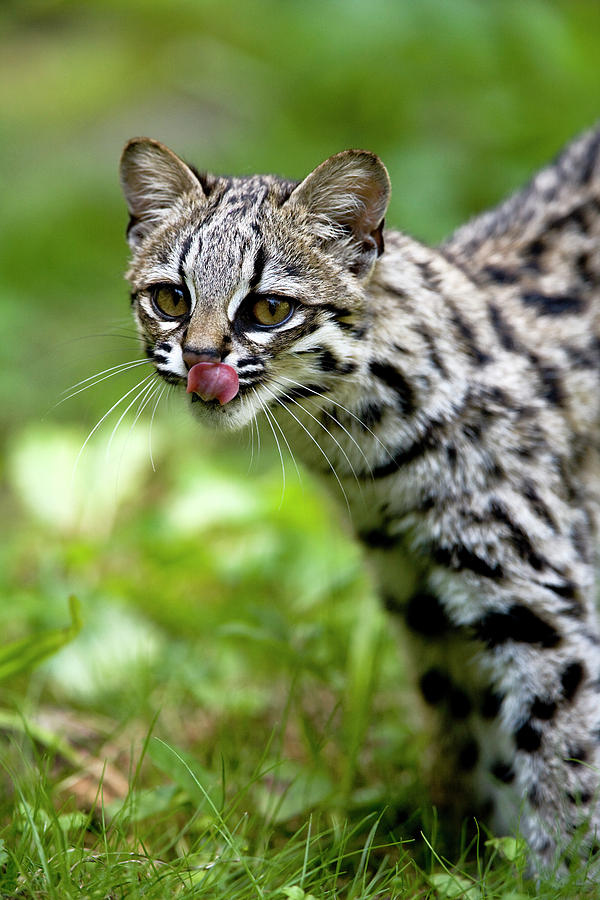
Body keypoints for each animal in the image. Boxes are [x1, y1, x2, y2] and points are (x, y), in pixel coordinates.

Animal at [118, 126, 600, 872]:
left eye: (268, 309)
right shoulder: (417, 589)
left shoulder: (537, 594)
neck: (365, 451)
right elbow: (472, 726)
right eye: (170, 298)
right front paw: (468, 849)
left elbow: (563, 746)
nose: (199, 361)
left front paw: (563, 871)